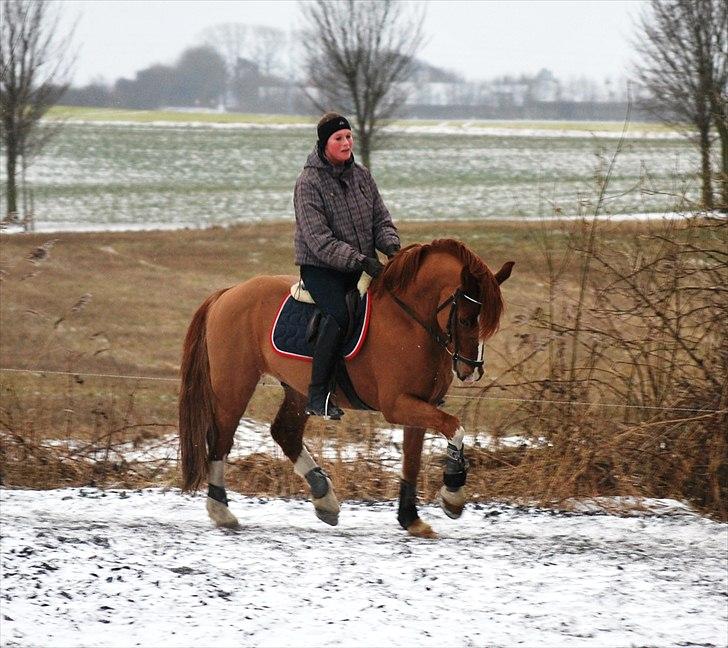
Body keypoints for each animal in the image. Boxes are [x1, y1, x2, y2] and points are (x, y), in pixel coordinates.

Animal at [179, 238, 516, 536]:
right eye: (467, 319)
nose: (471, 371)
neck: (411, 321)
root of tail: (228, 293)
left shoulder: (420, 404)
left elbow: (413, 459)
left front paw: (411, 518)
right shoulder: (398, 405)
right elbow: (455, 427)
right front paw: (453, 492)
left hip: (298, 390)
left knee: (285, 432)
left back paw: (324, 497)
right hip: (234, 386)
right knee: (221, 439)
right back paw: (221, 510)